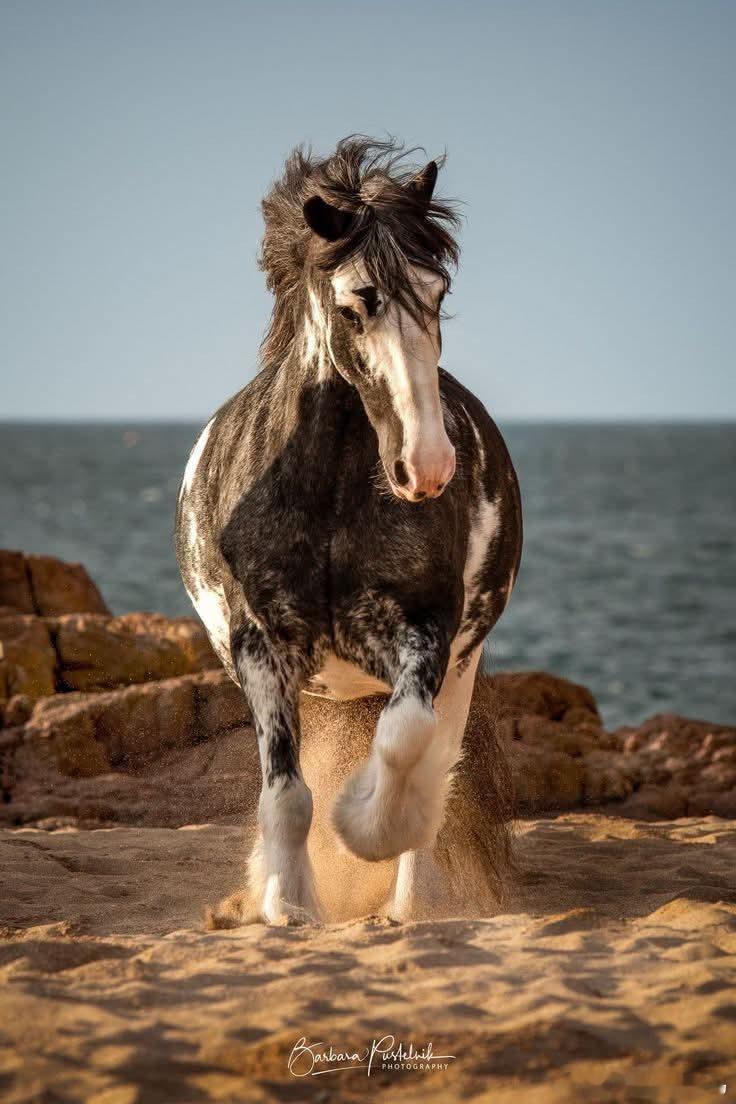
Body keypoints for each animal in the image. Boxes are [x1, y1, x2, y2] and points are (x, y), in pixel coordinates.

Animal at [176, 137, 522, 925]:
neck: (329, 496)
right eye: (356, 303)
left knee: (434, 759)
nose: (428, 466)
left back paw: (407, 906)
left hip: (460, 668)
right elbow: (286, 791)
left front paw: (363, 826)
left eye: (438, 292)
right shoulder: (262, 648)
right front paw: (287, 905)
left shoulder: (426, 632)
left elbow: (405, 741)